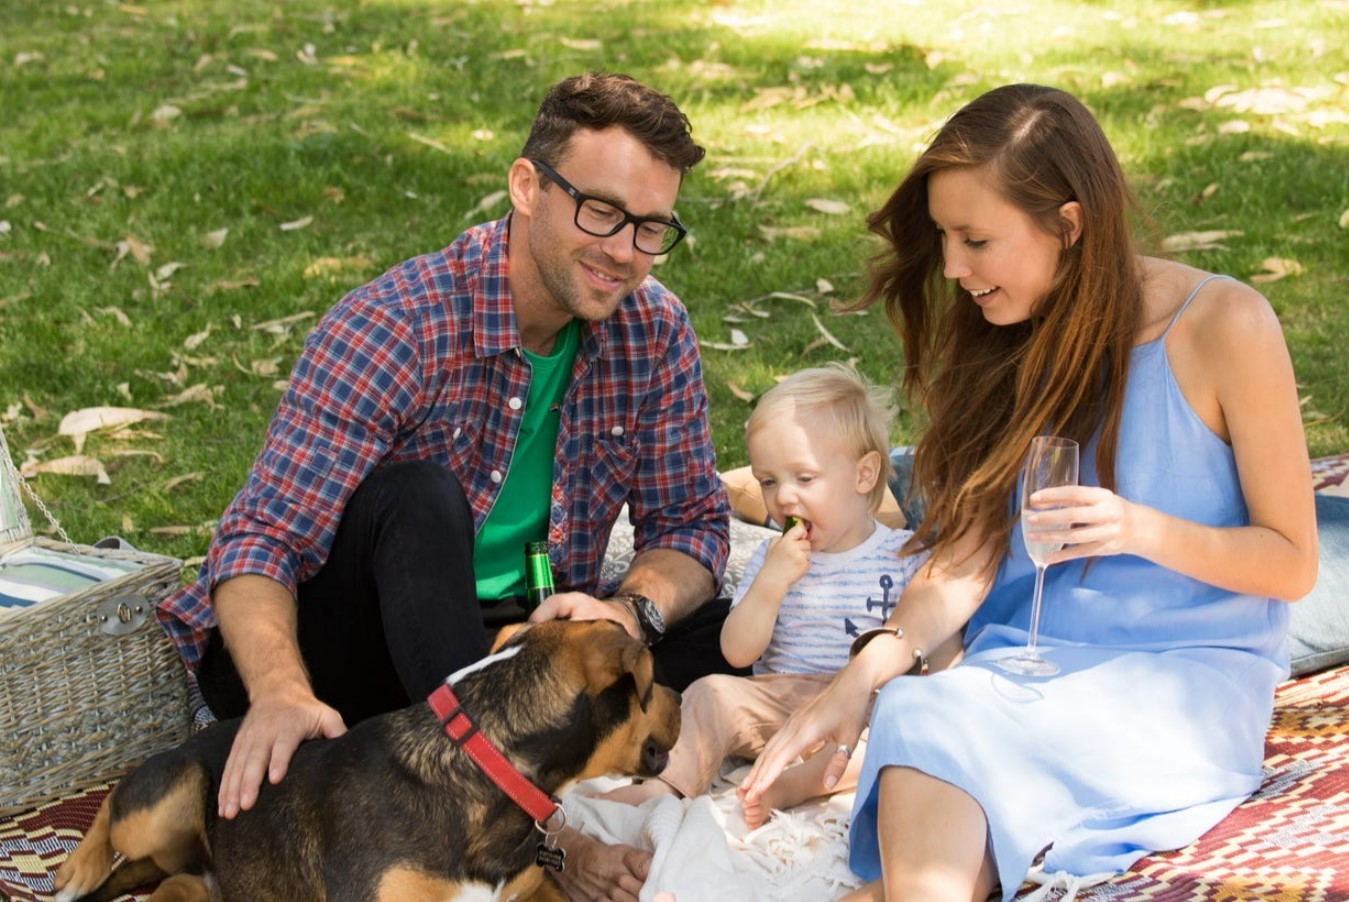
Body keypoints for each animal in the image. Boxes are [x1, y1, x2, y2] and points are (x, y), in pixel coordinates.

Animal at [53, 619, 681, 901]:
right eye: (650, 680)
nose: (680, 699)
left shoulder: (531, 892)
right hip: (169, 792)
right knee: (114, 802)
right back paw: (77, 867)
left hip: (185, 874)